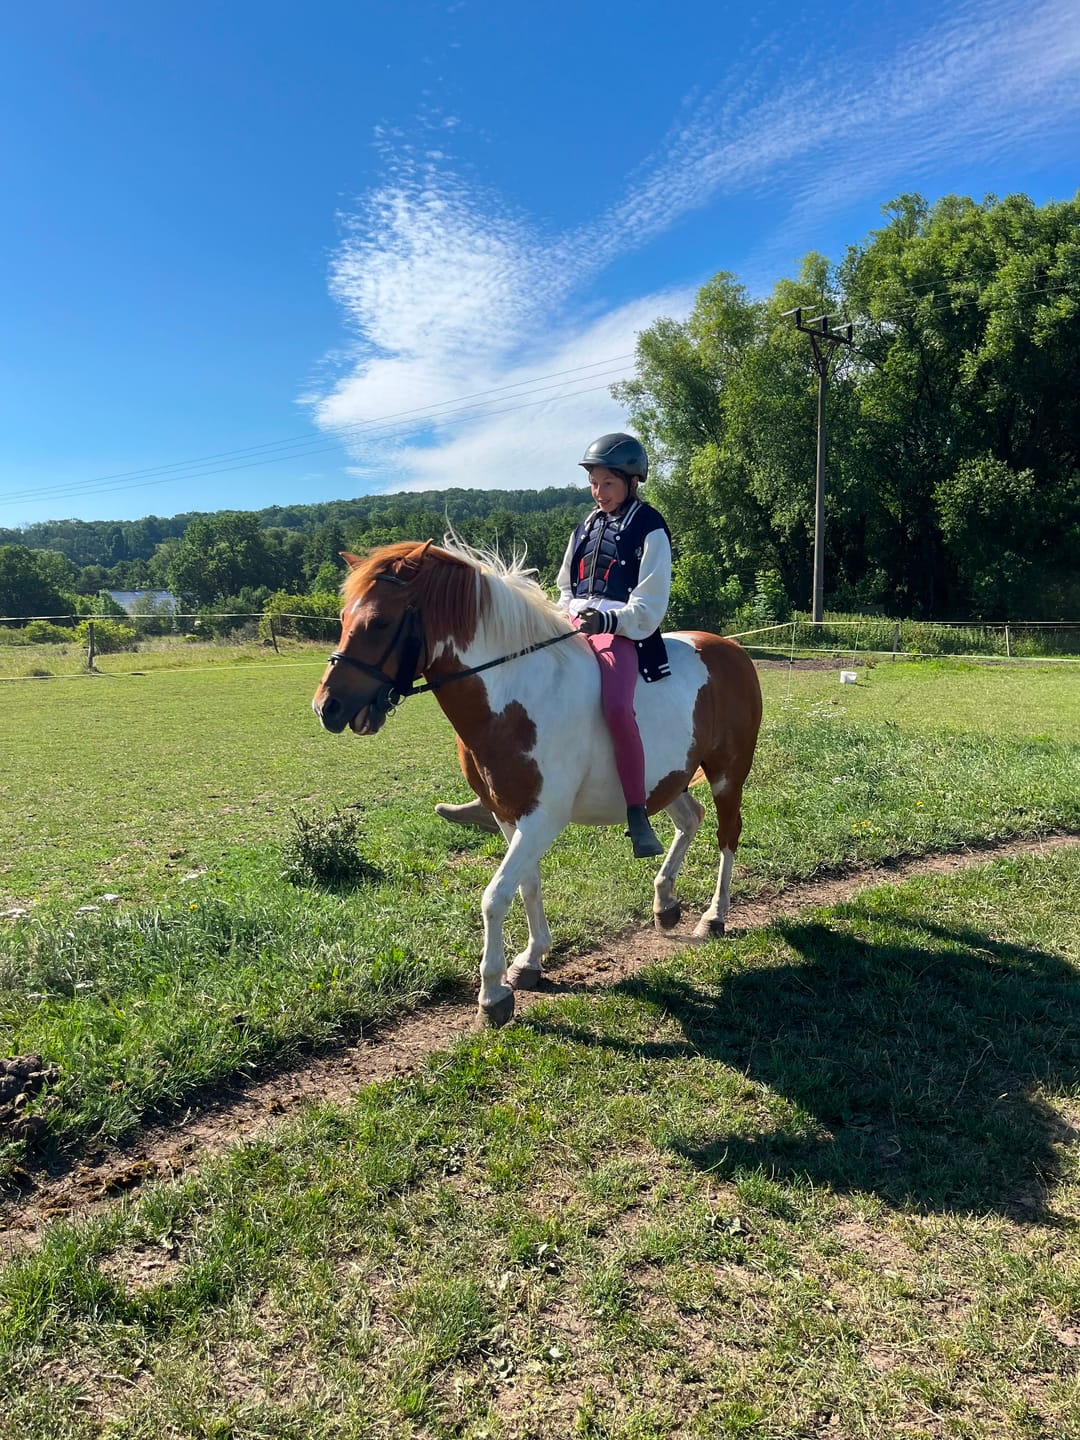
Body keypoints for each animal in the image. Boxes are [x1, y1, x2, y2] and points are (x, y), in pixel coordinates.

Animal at [312, 538, 762, 1028]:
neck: (515, 696)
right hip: (666, 781)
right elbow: (526, 885)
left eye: (379, 622)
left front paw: (493, 994)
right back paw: (665, 904)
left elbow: (494, 896)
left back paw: (714, 916)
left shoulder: (542, 818)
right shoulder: (509, 814)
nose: (327, 707)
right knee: (689, 819)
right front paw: (531, 960)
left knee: (727, 834)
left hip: (727, 774)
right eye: (342, 618)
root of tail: (729, 649)